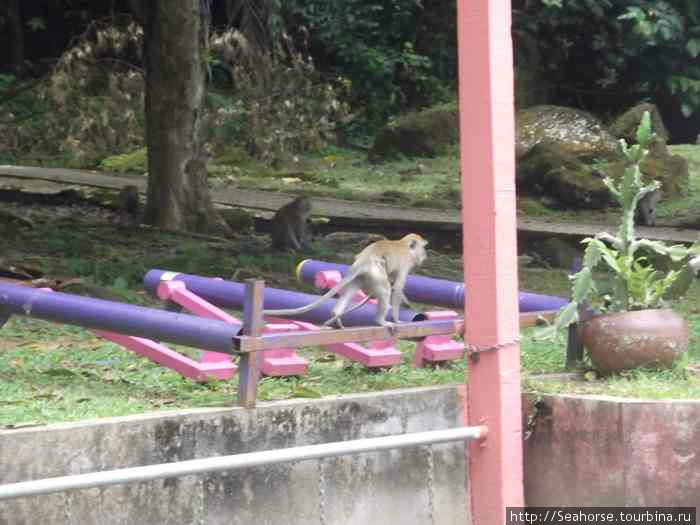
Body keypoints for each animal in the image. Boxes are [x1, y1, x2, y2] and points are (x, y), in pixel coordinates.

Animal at [262, 233, 426, 328]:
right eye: (423, 248)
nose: (425, 256)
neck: (404, 244)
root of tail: (363, 260)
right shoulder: (406, 263)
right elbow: (397, 288)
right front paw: (398, 319)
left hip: (363, 276)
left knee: (353, 288)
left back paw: (336, 314)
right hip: (376, 273)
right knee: (385, 290)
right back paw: (380, 321)